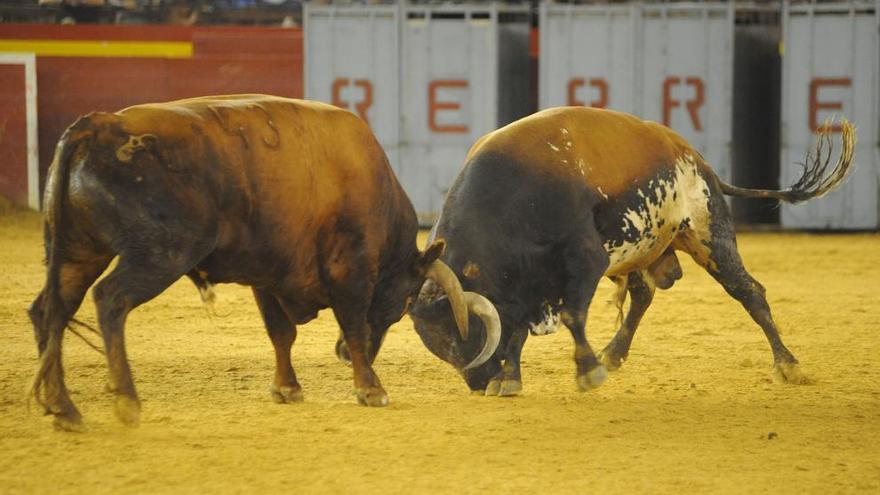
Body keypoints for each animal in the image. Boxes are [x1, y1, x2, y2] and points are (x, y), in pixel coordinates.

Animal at [25, 95, 502, 432]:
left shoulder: (269, 276)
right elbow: (352, 325)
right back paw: (126, 401)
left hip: (78, 253)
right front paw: (371, 389)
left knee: (49, 310)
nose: (340, 356)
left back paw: (62, 407)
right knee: (110, 300)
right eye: (404, 302)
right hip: (159, 254)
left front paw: (287, 387)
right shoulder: (350, 272)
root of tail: (99, 124)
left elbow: (281, 333)